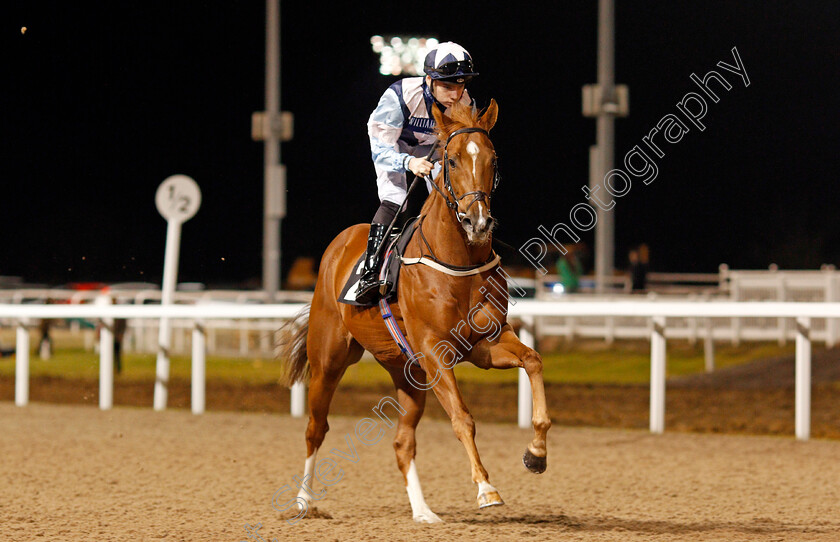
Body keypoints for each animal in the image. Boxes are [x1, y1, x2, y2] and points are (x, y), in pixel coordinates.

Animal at [282, 100, 552, 524]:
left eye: (493, 159)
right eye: (451, 161)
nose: (478, 222)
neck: (456, 261)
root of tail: (339, 245)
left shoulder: (484, 345)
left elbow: (533, 360)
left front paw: (536, 454)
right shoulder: (434, 350)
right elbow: (463, 418)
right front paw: (486, 488)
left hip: (407, 373)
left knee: (401, 442)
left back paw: (423, 511)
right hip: (329, 360)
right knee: (316, 428)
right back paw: (303, 501)